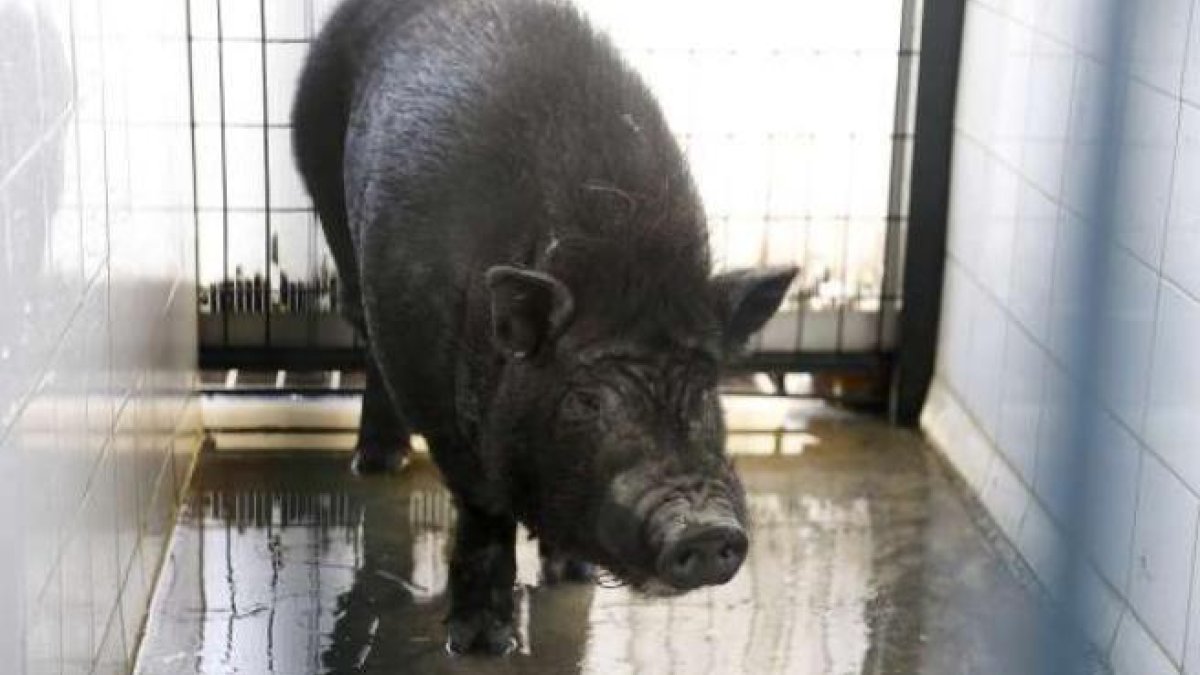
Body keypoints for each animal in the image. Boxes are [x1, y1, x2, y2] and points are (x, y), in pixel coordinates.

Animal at [292, 0, 797, 654]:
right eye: (584, 401)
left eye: (707, 387)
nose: (704, 530)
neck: (621, 259)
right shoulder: (441, 401)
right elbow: (484, 513)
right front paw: (481, 645)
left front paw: (572, 579)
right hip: (322, 183)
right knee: (365, 333)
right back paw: (378, 466)